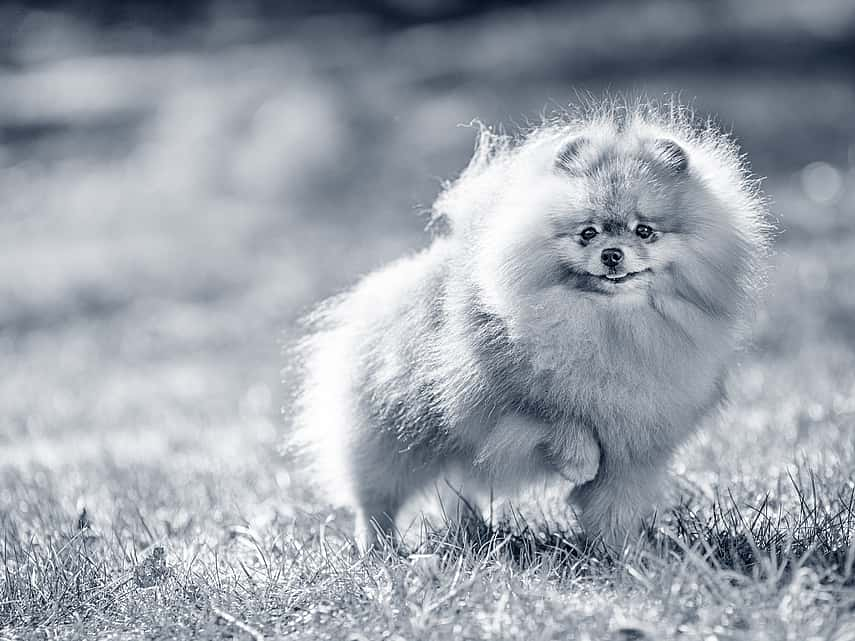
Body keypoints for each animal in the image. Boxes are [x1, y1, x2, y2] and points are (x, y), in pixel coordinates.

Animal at [290, 100, 772, 552]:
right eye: (588, 233)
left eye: (644, 231)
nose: (612, 254)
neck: (611, 328)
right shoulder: (502, 399)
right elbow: (557, 417)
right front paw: (580, 463)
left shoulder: (636, 450)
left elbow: (614, 506)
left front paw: (625, 557)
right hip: (395, 437)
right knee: (376, 498)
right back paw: (379, 549)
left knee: (455, 490)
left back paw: (470, 534)